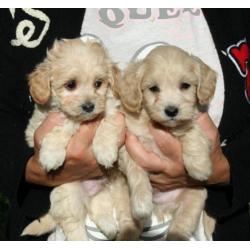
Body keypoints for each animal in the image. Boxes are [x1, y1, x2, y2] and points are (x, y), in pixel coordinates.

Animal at [117, 45, 217, 240]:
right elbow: (136, 173)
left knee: (180, 227)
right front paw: (142, 203)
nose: (171, 111)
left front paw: (199, 167)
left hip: (195, 197)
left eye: (185, 85)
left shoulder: (199, 126)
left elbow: (191, 131)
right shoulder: (130, 143)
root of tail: (164, 205)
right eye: (153, 88)